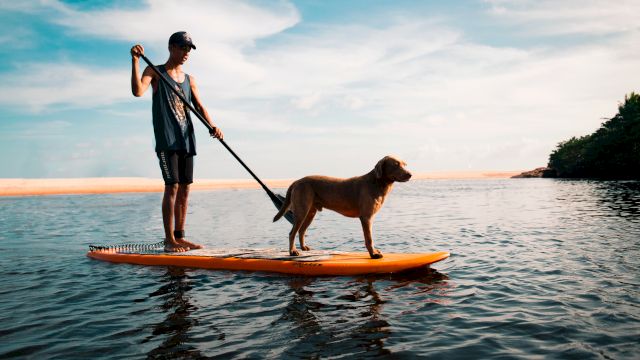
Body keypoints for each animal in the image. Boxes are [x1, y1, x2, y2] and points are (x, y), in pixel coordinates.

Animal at [272, 155, 412, 258]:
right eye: (396, 164)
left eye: (404, 164)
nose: (410, 174)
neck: (377, 183)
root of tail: (297, 181)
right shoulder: (366, 217)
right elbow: (369, 238)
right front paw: (373, 254)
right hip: (302, 210)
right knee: (292, 233)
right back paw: (293, 251)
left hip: (310, 212)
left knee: (301, 231)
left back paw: (304, 248)